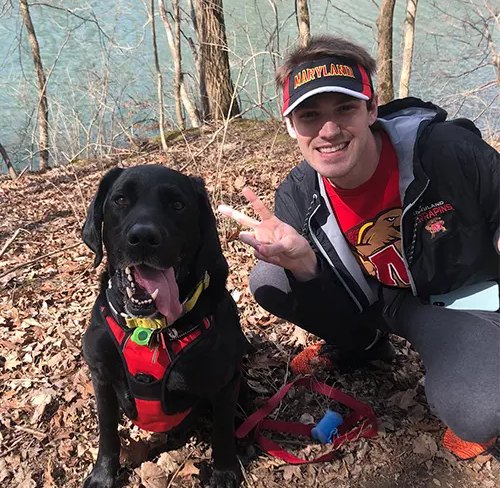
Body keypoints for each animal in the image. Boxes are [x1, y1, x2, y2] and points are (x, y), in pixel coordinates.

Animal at [80, 166, 250, 486]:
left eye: (178, 205)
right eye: (120, 199)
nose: (144, 237)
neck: (149, 328)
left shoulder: (224, 381)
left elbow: (222, 431)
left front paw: (224, 471)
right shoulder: (102, 377)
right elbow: (107, 433)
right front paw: (103, 474)